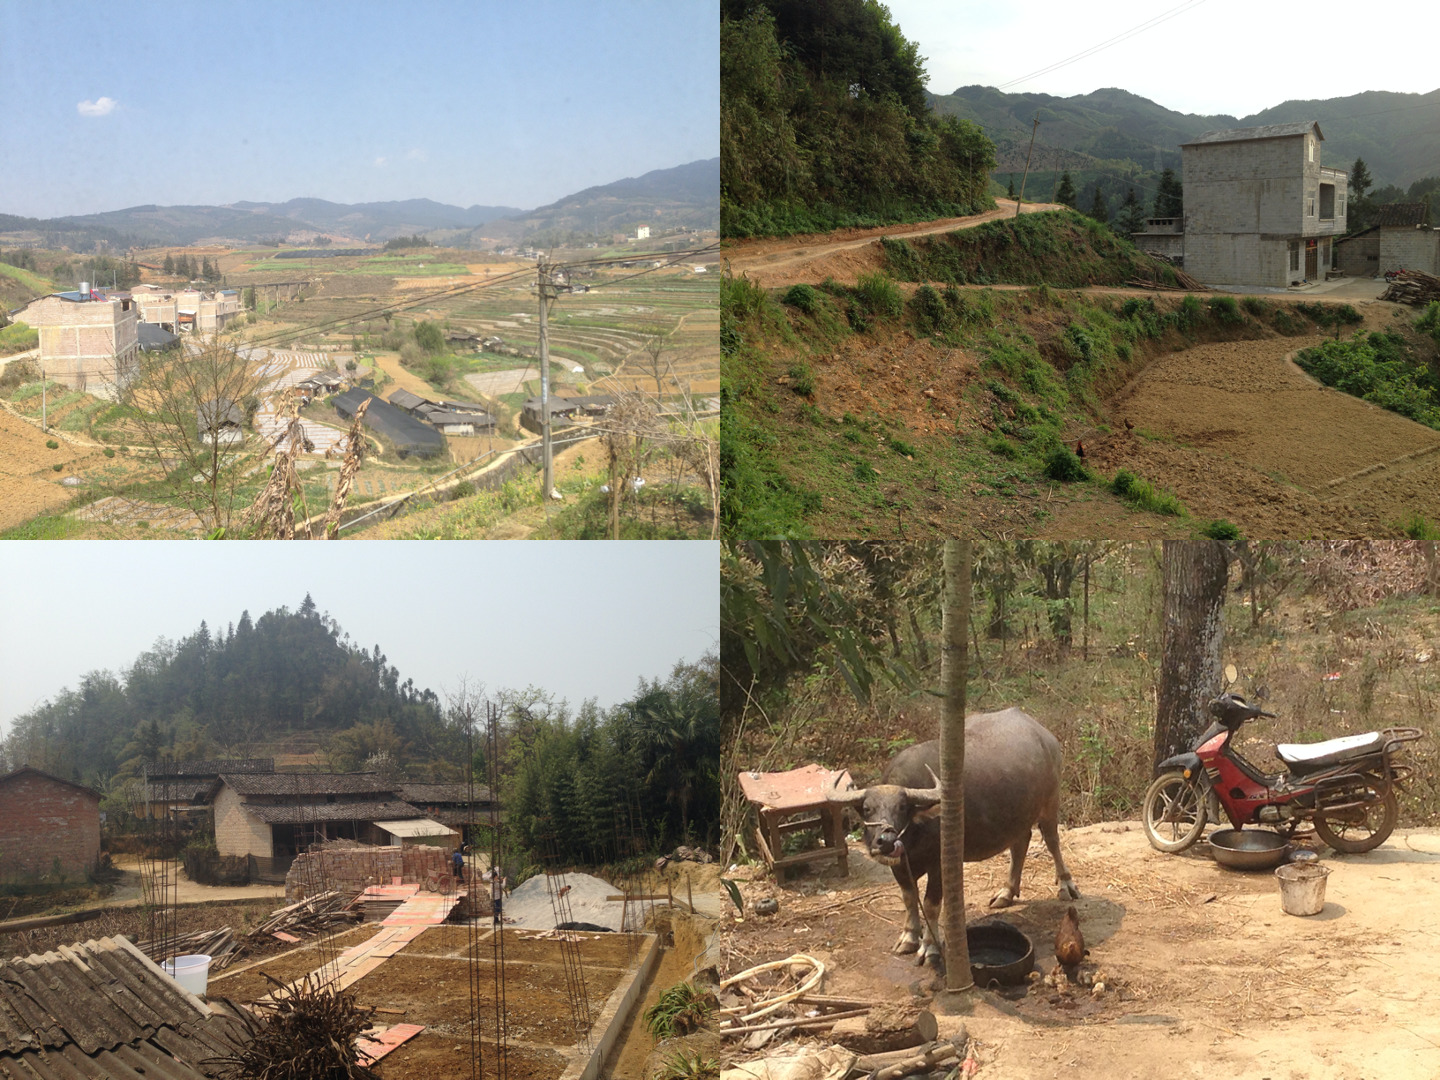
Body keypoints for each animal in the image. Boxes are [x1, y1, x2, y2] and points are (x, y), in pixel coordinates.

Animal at [829, 714, 1077, 967]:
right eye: (867, 809)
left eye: (902, 808)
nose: (886, 841)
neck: (918, 828)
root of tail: (1044, 735)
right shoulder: (899, 866)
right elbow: (909, 898)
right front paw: (908, 937)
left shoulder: (939, 864)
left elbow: (930, 905)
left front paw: (929, 947)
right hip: (1018, 816)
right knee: (1020, 843)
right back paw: (1006, 893)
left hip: (1050, 802)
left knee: (1052, 840)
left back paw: (1066, 885)